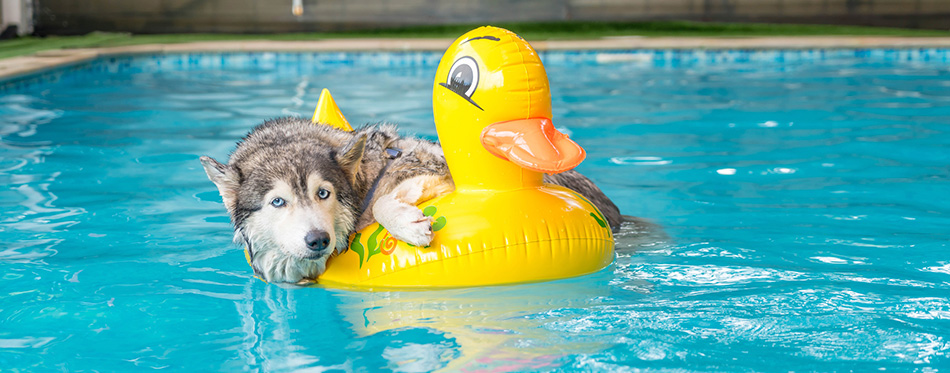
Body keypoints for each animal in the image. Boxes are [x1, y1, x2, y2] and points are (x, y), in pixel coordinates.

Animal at [199, 117, 624, 284]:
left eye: (324, 193)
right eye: (278, 202)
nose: (318, 240)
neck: (364, 179)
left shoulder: (428, 172)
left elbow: (385, 203)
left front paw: (409, 226)